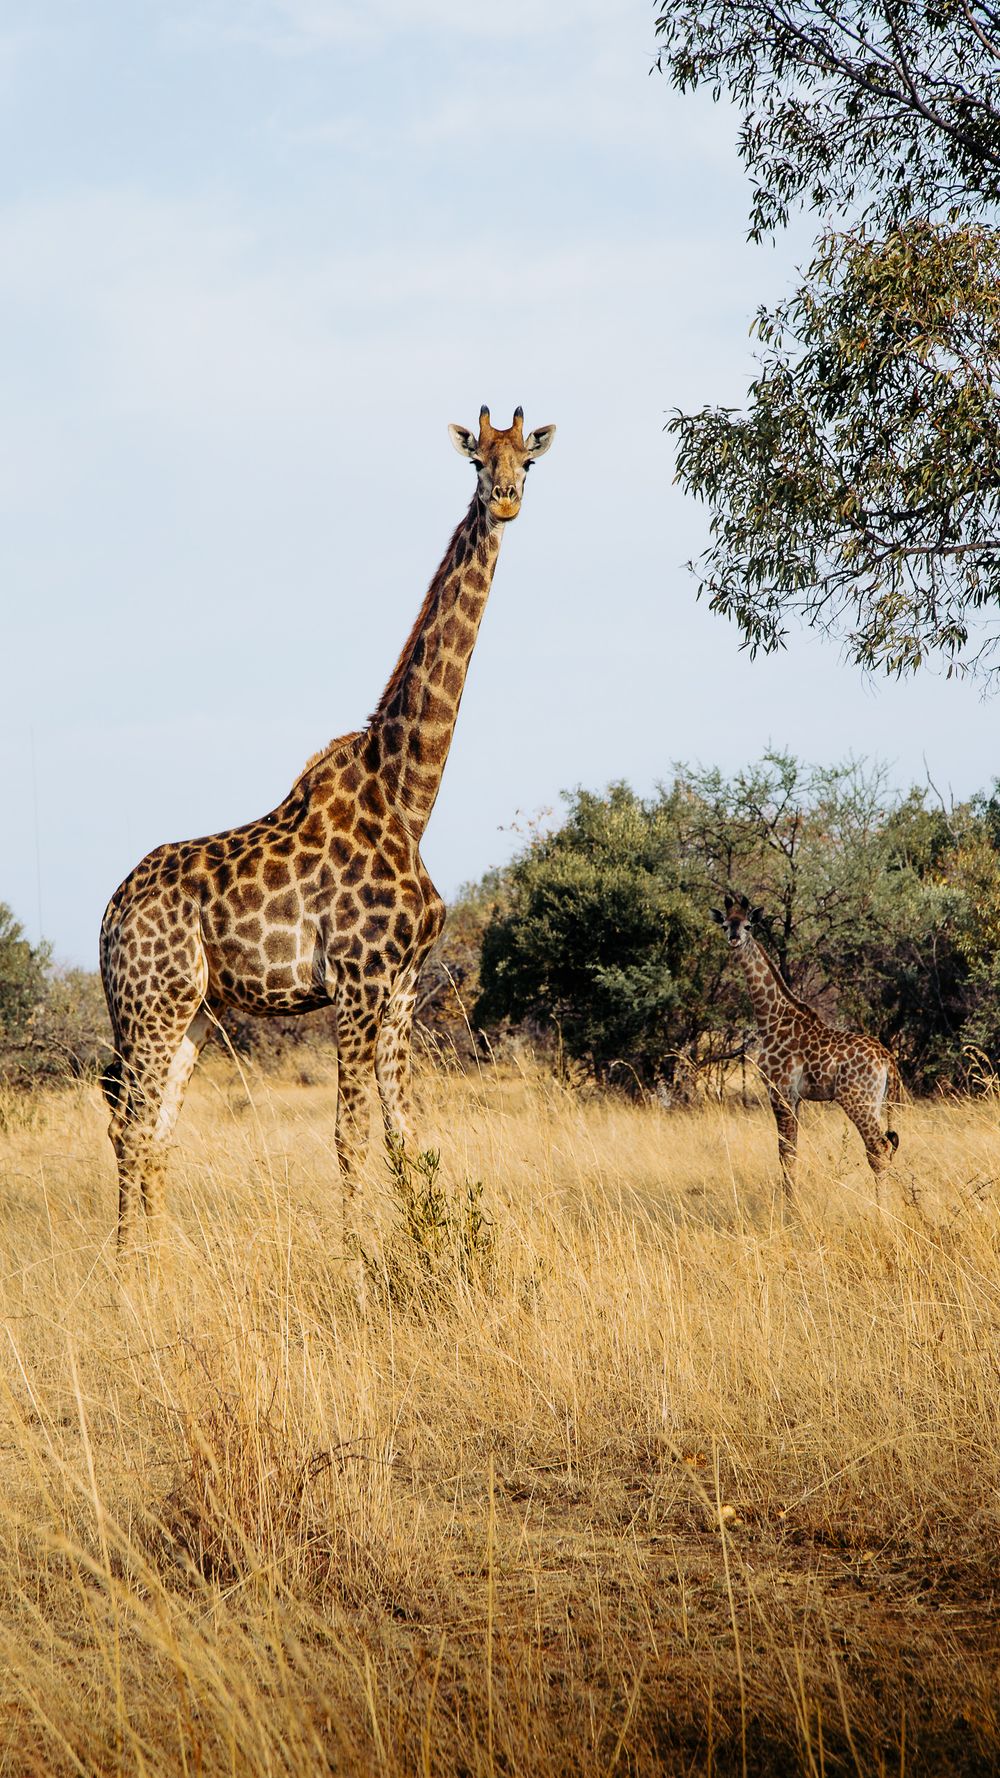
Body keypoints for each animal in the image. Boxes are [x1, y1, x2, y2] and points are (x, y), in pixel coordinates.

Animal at [100, 406, 556, 1250]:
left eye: (529, 462)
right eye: (478, 461)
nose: (507, 500)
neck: (409, 798)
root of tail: (108, 916)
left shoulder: (403, 987)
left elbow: (406, 1136)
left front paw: (421, 1250)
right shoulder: (356, 979)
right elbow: (349, 1135)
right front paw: (356, 1258)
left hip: (189, 1008)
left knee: (157, 1127)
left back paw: (159, 1262)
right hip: (154, 1001)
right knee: (132, 1124)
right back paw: (125, 1271)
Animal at [711, 893, 901, 1196]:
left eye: (749, 925)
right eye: (726, 924)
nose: (734, 938)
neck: (771, 1017)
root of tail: (887, 1059)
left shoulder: (780, 1091)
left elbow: (785, 1154)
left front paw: (791, 1207)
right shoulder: (795, 1097)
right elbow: (792, 1152)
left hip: (857, 1100)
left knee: (879, 1149)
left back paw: (882, 1209)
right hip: (877, 1102)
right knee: (888, 1146)